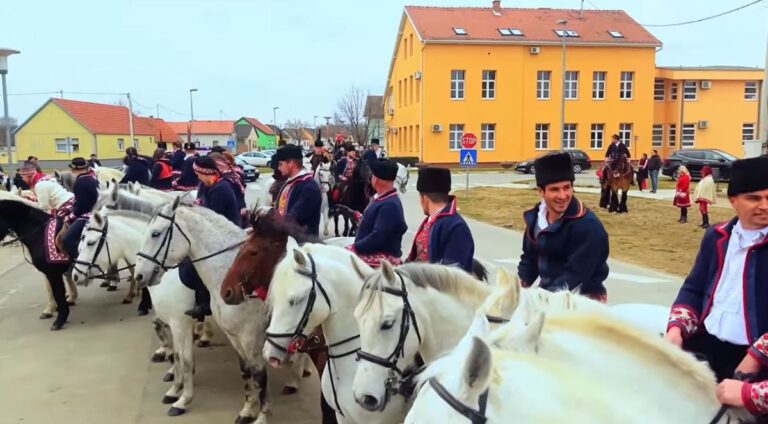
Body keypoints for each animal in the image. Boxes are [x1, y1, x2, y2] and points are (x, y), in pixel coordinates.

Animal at [134, 200, 274, 424]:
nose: (139, 275)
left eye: (155, 233)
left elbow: (259, 374)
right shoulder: (233, 336)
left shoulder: (250, 336)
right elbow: (245, 370)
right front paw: (248, 409)